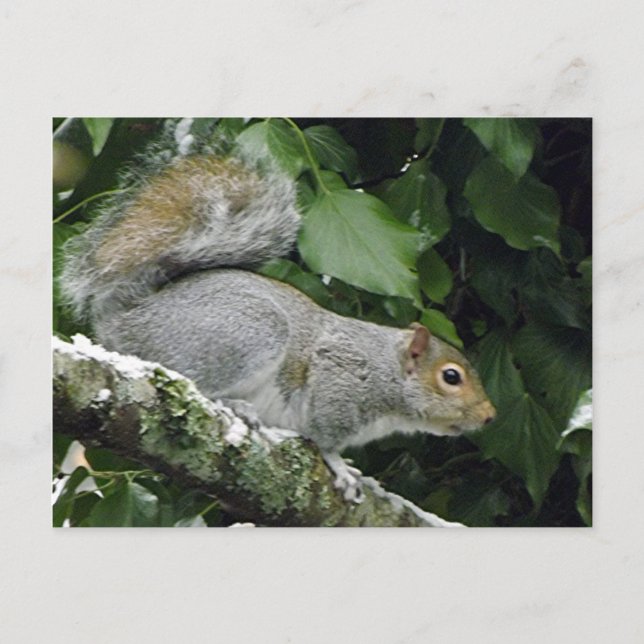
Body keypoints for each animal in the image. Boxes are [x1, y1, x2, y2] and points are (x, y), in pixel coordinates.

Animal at [61, 121, 496, 502]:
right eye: (451, 377)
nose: (490, 416)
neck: (386, 370)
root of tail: (128, 321)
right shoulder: (339, 382)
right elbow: (325, 437)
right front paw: (342, 468)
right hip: (247, 333)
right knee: (193, 381)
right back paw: (233, 405)